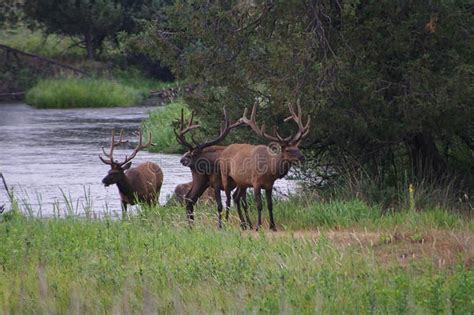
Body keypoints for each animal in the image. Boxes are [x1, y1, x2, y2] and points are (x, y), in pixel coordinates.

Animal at [221, 103, 312, 232]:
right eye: (288, 150)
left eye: (297, 148)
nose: (302, 157)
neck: (269, 170)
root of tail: (224, 150)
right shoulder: (256, 182)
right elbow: (259, 205)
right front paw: (259, 226)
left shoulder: (269, 185)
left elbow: (270, 205)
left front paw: (273, 226)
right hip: (225, 175)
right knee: (228, 199)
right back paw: (225, 223)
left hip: (241, 182)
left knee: (236, 197)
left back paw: (244, 224)